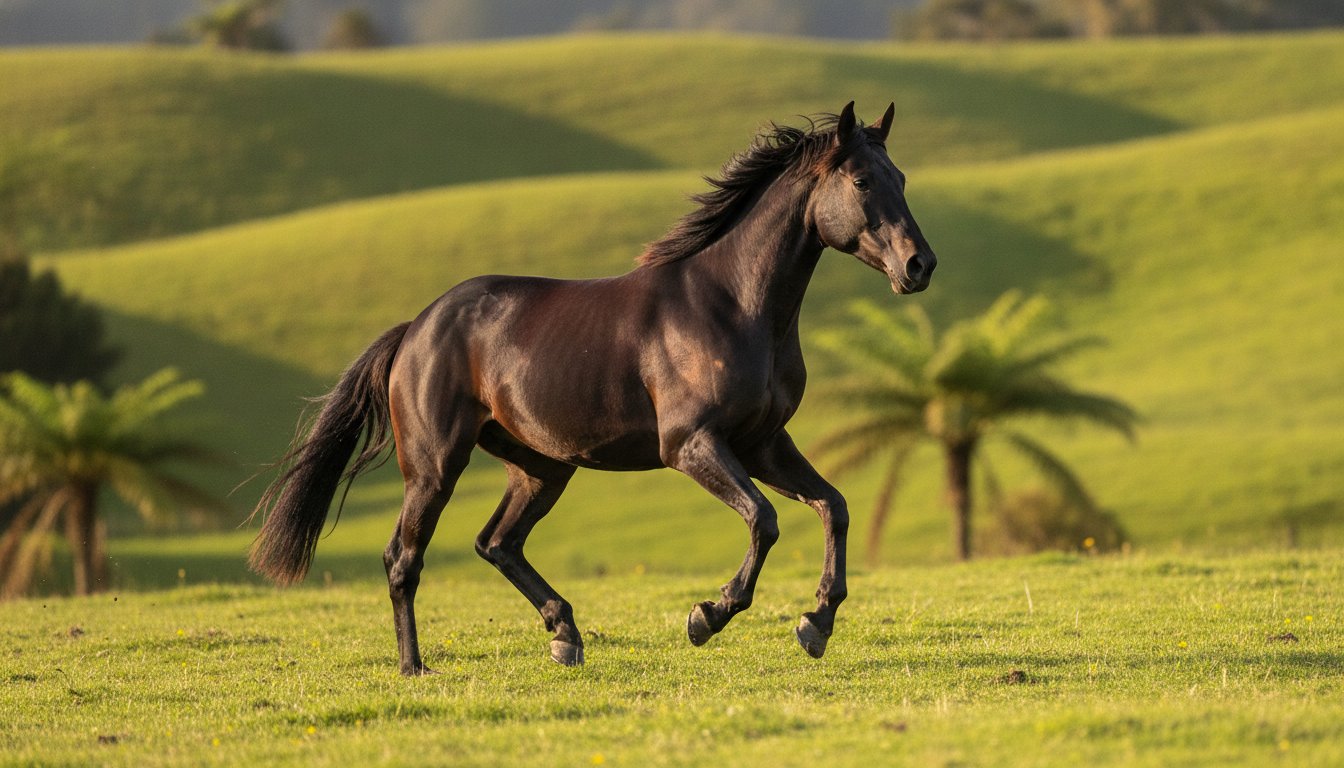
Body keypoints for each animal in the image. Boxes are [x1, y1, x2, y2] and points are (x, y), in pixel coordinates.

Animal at [248, 101, 936, 675]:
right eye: (862, 182)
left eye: (900, 177)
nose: (920, 265)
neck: (733, 305)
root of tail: (416, 328)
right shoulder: (691, 445)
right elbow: (764, 521)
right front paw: (707, 617)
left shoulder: (764, 442)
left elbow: (833, 506)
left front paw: (816, 623)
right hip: (435, 466)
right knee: (404, 558)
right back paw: (414, 667)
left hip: (542, 468)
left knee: (496, 543)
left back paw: (565, 637)